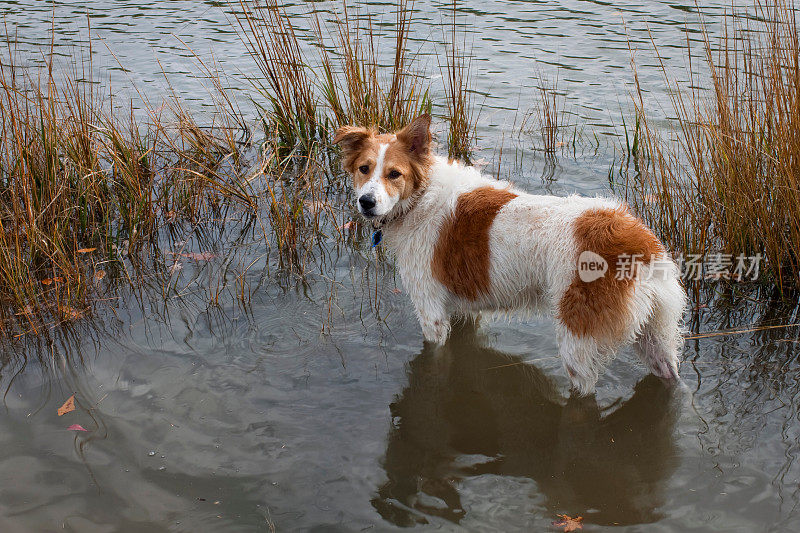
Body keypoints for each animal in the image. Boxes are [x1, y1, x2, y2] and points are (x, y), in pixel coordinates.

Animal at [334, 114, 684, 392]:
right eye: (364, 169)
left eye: (394, 174)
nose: (366, 202)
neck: (421, 198)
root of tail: (638, 240)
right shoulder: (465, 310)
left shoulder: (431, 312)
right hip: (656, 339)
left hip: (578, 342)